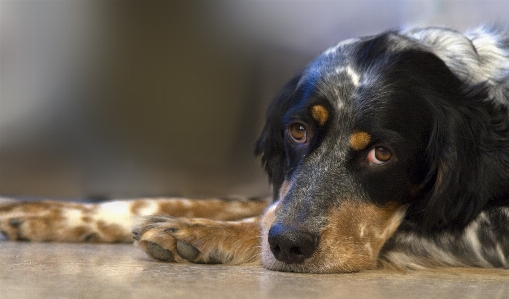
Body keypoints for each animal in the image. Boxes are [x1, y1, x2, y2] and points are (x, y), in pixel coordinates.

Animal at [0, 26, 508, 274]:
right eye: (298, 131)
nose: (289, 245)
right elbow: (208, 201)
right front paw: (47, 213)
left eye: (382, 154)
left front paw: (202, 235)